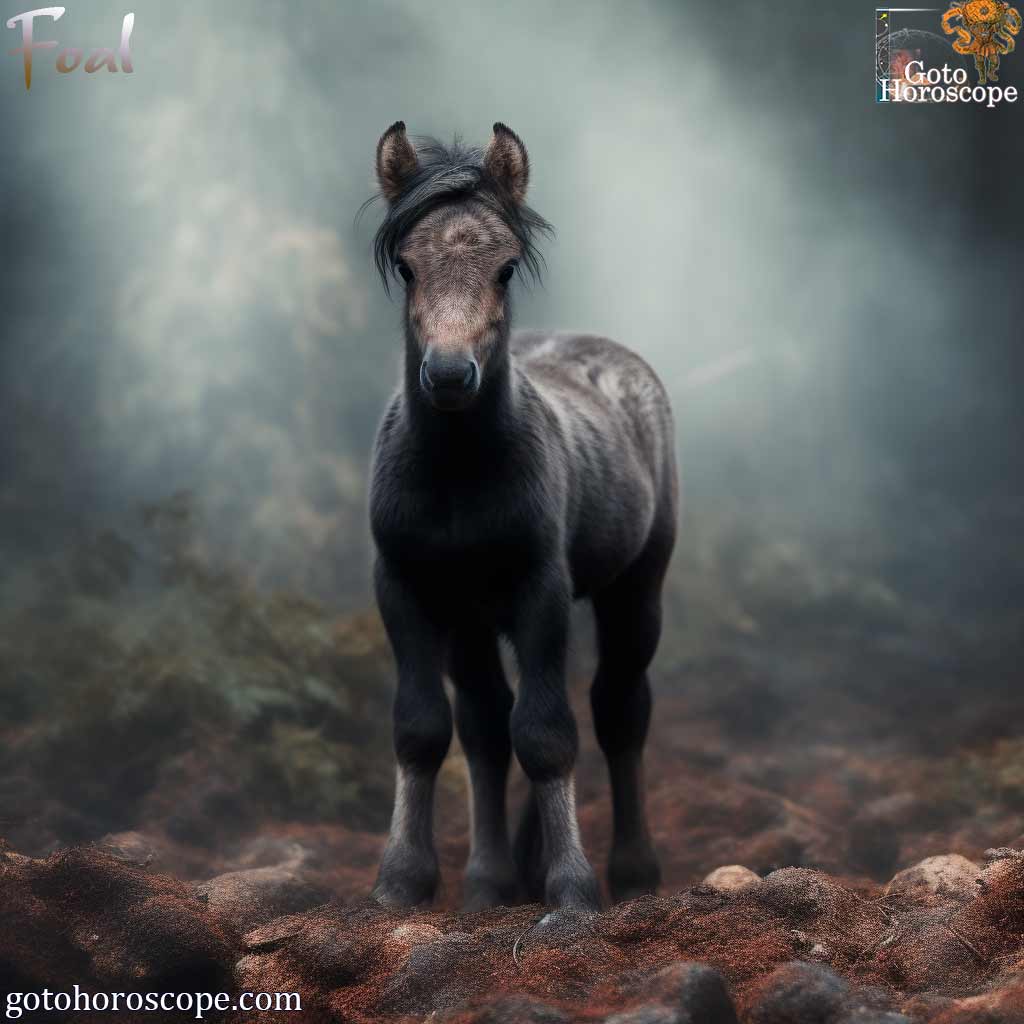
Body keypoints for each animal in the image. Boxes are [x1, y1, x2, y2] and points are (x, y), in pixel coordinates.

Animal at [366, 121, 678, 911]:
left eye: (506, 269)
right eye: (408, 268)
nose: (450, 375)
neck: (457, 477)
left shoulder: (540, 588)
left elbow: (546, 733)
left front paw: (571, 891)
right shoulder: (406, 587)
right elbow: (424, 727)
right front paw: (401, 881)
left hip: (637, 587)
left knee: (617, 709)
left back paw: (631, 869)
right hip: (473, 620)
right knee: (485, 723)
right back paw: (495, 879)